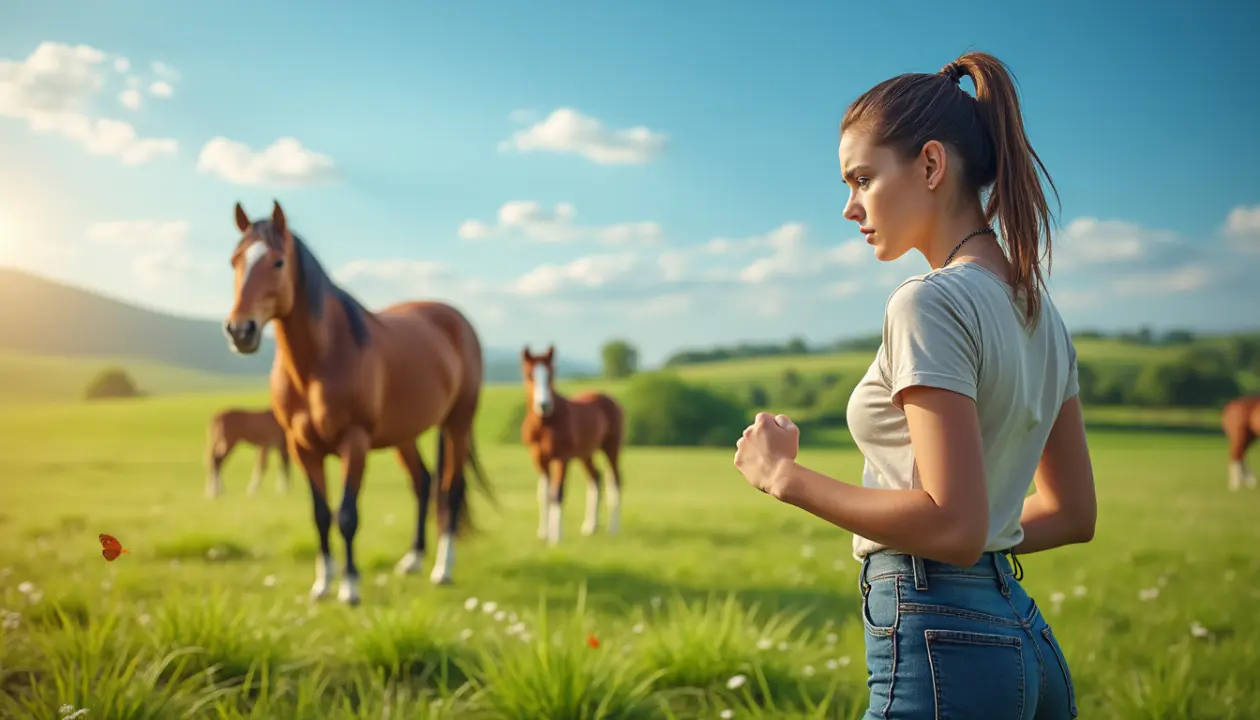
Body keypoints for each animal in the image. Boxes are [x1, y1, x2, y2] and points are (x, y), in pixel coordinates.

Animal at [222, 200, 492, 606]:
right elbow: (321, 514)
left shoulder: (356, 441)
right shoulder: (302, 447)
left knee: (451, 490)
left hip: (457, 424)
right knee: (423, 482)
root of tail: (457, 320)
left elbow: (347, 515)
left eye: (278, 262)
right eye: (235, 261)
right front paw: (322, 584)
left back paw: (442, 569)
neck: (320, 362)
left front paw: (349, 586)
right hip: (404, 435)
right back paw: (413, 560)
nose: (241, 331)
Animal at [520, 345, 625, 545]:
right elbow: (544, 494)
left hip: (611, 448)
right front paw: (543, 534)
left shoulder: (562, 459)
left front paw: (556, 539)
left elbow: (558, 493)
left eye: (551, 374)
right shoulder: (539, 459)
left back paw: (614, 529)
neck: (546, 424)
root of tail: (611, 400)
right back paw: (590, 527)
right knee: (596, 477)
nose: (543, 405)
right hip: (585, 454)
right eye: (529, 374)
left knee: (615, 480)